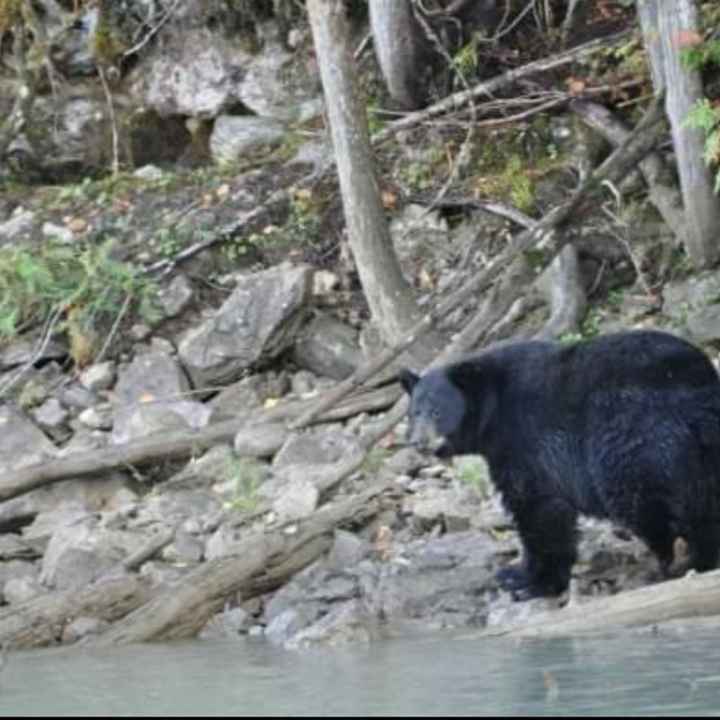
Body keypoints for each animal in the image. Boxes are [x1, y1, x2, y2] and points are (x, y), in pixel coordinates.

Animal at [400, 330, 720, 600]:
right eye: (414, 413)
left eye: (437, 411)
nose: (418, 442)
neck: (492, 410)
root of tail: (699, 381)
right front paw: (518, 574)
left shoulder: (524, 440)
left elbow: (538, 508)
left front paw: (531, 581)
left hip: (633, 431)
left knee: (644, 499)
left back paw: (677, 561)